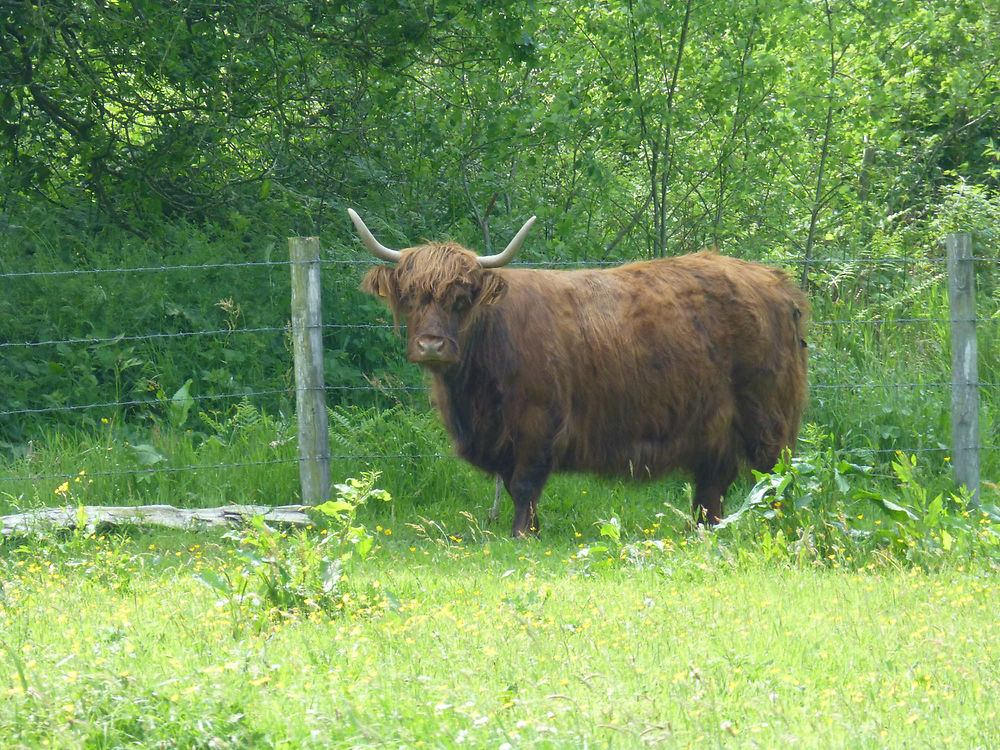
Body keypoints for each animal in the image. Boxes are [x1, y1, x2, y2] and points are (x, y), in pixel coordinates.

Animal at [348, 209, 808, 536]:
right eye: (410, 298)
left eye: (461, 298)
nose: (431, 345)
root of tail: (776, 282)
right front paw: (531, 529)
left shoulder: (538, 423)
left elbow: (524, 484)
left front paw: (523, 533)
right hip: (716, 426)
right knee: (713, 482)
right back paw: (704, 530)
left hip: (767, 418)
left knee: (775, 478)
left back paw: (776, 528)